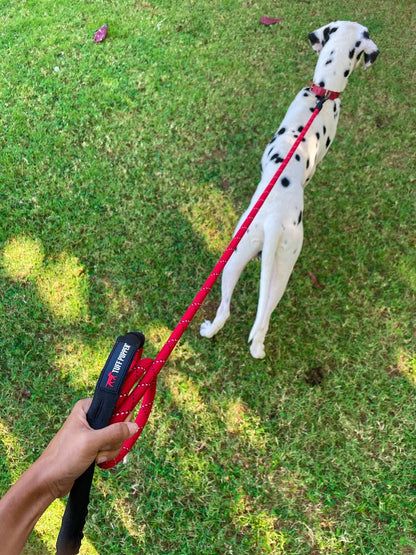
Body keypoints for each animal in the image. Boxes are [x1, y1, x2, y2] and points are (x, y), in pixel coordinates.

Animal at [200, 19, 378, 358]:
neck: (323, 93)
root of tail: (273, 222)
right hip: (266, 263)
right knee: (257, 316)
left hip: (244, 258)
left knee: (235, 311)